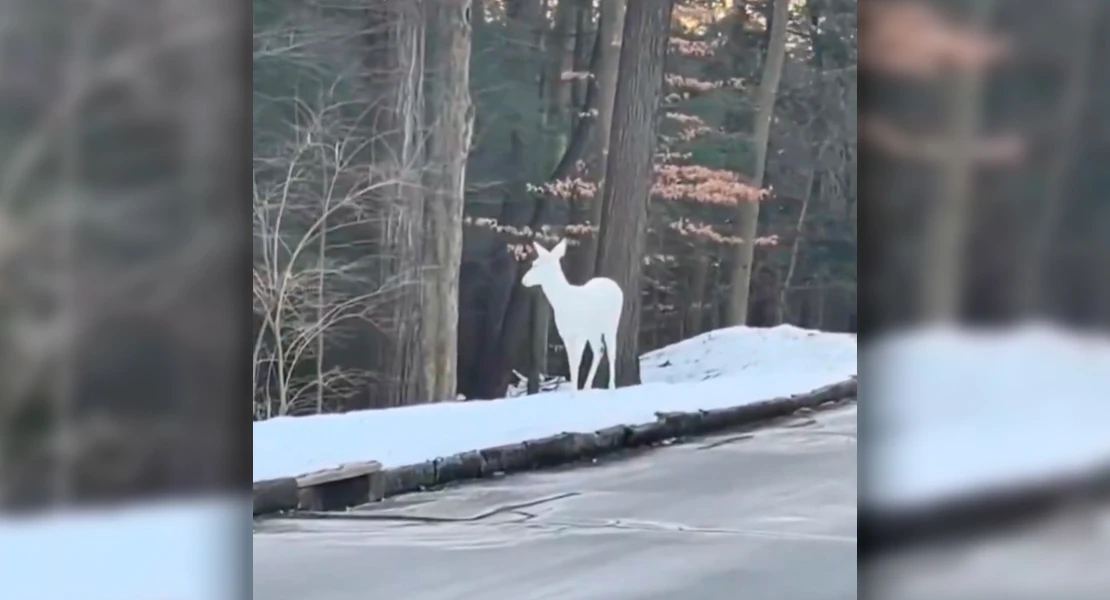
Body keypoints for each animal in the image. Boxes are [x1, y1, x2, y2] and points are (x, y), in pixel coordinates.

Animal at [521, 238, 626, 388]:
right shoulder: (566, 335)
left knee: (611, 353)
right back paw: (587, 387)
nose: (524, 280)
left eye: (537, 265)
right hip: (593, 331)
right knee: (599, 349)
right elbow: (571, 364)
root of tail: (613, 283)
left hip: (611, 324)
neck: (564, 302)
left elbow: (576, 363)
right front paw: (574, 391)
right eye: (533, 263)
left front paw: (574, 391)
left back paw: (611, 387)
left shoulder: (580, 333)